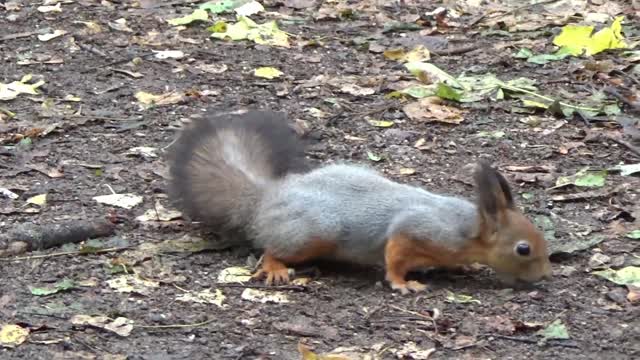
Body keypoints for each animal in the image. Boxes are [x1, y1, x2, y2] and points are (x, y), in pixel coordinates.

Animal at [168, 111, 552, 294]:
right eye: (522, 249)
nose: (544, 276)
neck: (466, 227)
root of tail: (268, 197)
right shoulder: (417, 230)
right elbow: (395, 255)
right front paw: (402, 283)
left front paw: (465, 267)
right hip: (314, 232)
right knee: (270, 247)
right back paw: (276, 267)